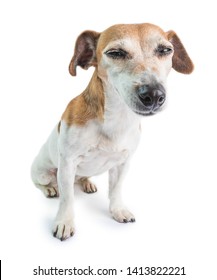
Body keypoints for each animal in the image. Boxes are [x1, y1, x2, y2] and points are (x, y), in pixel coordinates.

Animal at [31, 22, 193, 241]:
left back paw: (86, 183)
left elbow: (116, 190)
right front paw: (64, 222)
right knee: (43, 184)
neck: (117, 118)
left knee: (81, 178)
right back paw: (49, 189)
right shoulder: (67, 164)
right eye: (116, 53)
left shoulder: (122, 163)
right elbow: (67, 198)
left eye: (166, 50)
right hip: (43, 173)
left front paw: (118, 211)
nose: (153, 94)